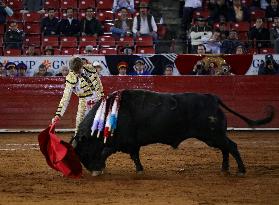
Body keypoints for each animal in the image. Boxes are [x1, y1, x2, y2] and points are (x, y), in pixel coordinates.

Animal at [72, 89, 276, 175]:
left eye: (83, 151)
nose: (89, 169)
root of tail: (213, 98)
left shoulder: (121, 142)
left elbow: (105, 152)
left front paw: (99, 168)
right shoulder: (132, 144)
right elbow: (135, 156)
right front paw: (140, 169)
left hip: (214, 135)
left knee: (231, 146)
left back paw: (241, 170)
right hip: (214, 136)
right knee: (226, 148)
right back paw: (225, 168)